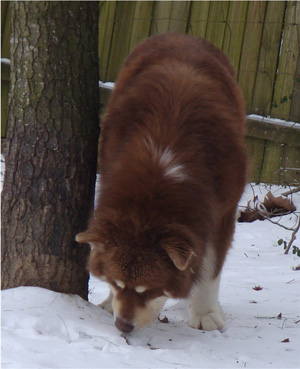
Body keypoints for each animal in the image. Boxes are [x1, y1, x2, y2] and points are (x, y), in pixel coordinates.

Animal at [76, 33, 247, 334]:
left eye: (150, 290)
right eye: (118, 283)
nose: (123, 325)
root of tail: (184, 35)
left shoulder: (223, 209)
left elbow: (210, 266)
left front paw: (205, 314)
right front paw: (110, 300)